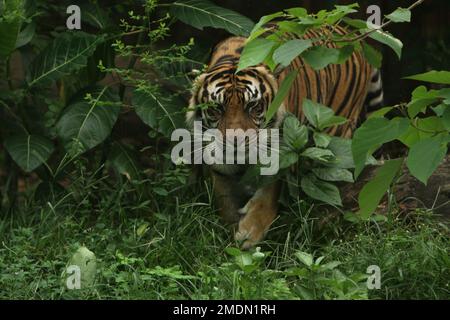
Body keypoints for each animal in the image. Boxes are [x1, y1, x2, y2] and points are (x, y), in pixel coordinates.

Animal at [185, 26, 384, 249]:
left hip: (336, 128)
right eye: (216, 108)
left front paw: (249, 234)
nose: (235, 142)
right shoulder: (220, 167)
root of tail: (351, 33)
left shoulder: (279, 155)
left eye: (253, 106)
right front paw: (231, 237)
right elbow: (226, 202)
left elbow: (266, 198)